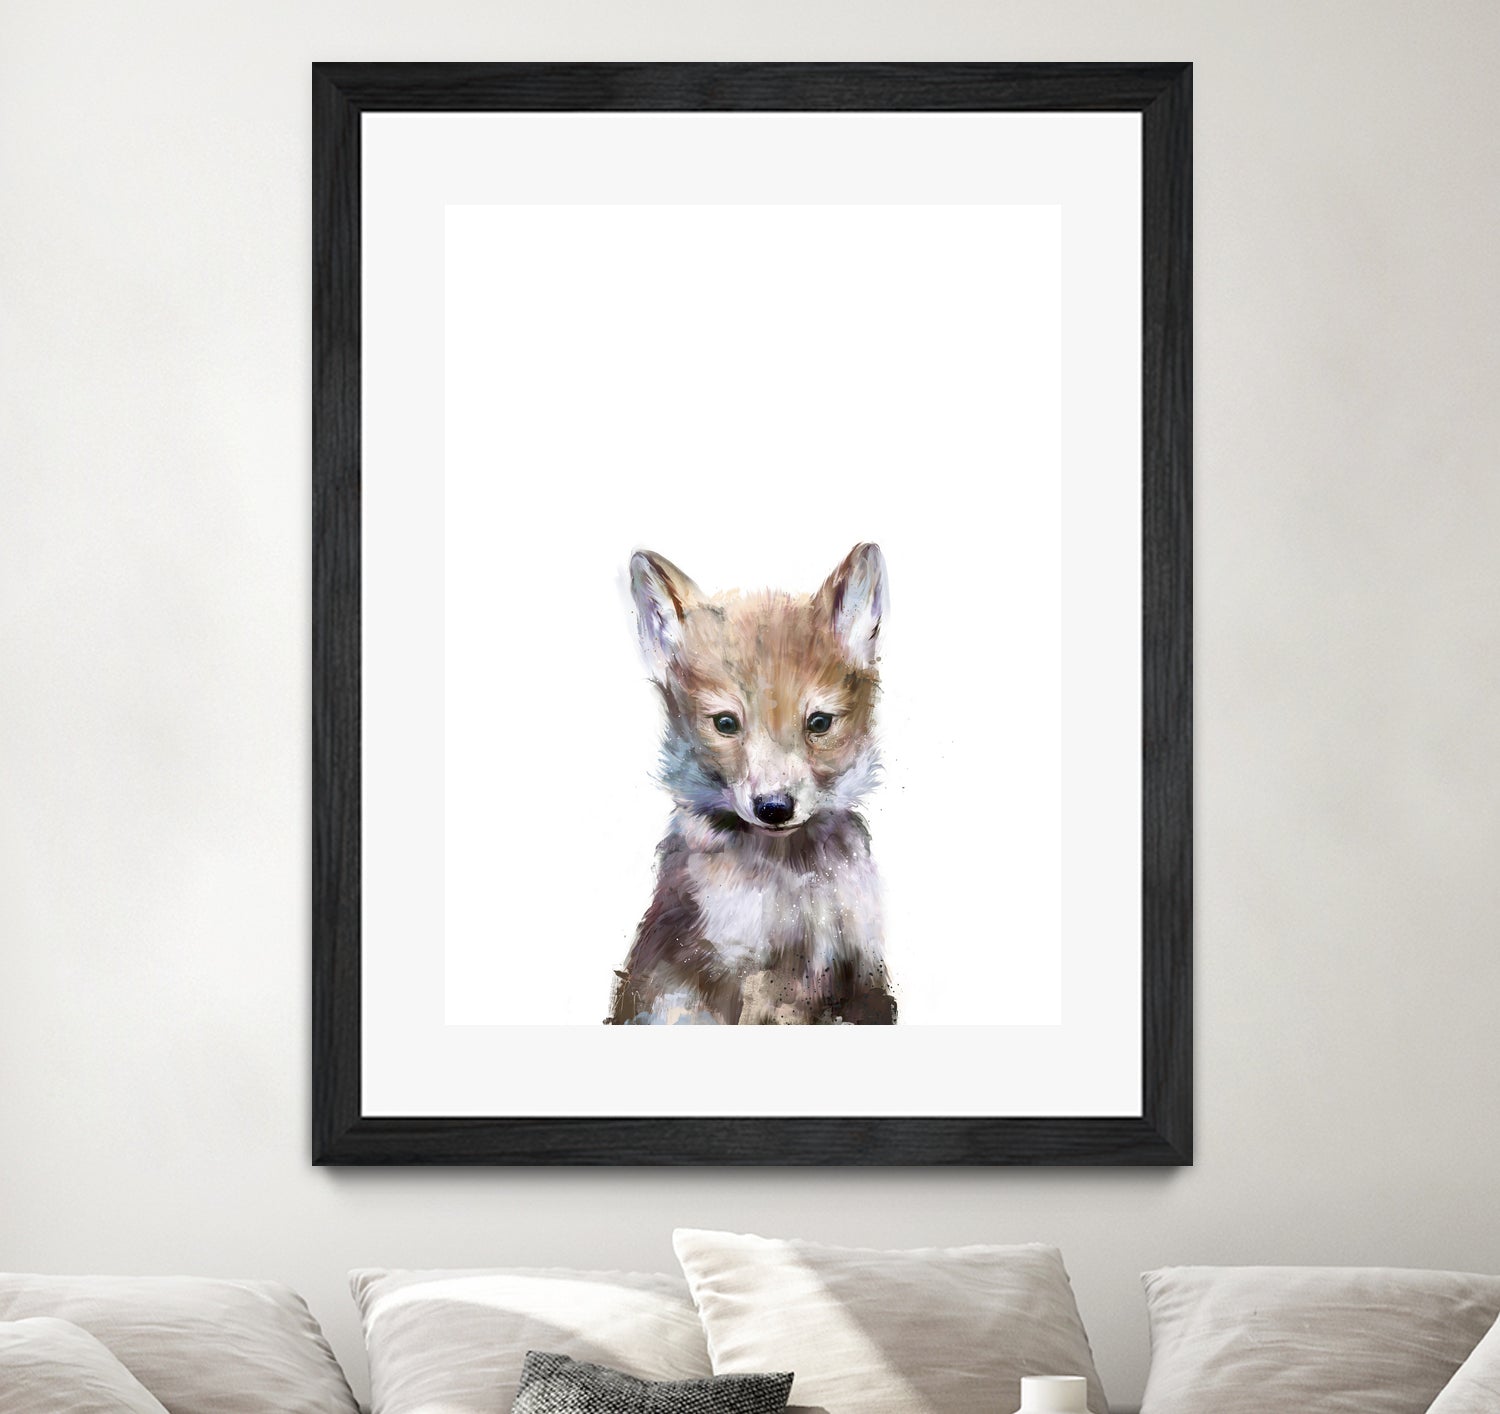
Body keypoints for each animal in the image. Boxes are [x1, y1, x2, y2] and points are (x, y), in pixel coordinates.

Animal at [608, 543, 897, 1025]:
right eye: (726, 723)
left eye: (819, 723)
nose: (774, 808)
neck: (793, 883)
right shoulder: (741, 973)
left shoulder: (860, 969)